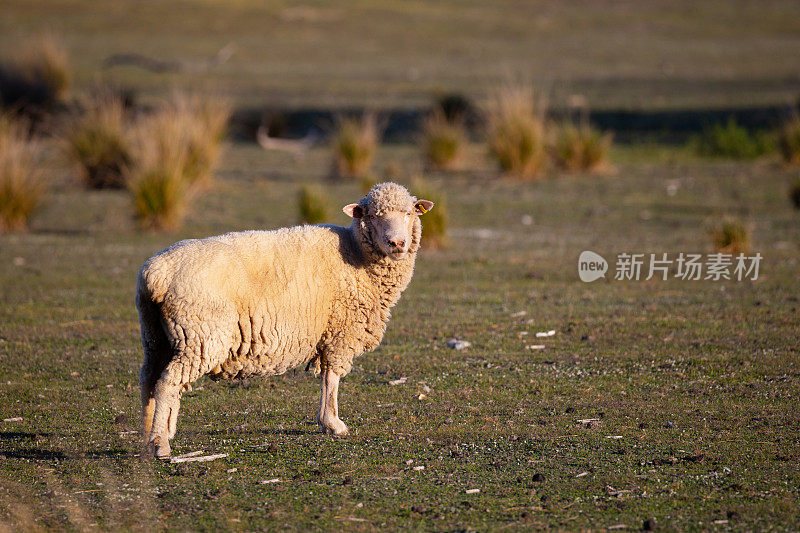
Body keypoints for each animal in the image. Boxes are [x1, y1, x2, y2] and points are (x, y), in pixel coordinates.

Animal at [138, 181, 438, 456]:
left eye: (409, 213)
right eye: (373, 216)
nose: (397, 243)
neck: (356, 255)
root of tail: (156, 272)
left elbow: (327, 377)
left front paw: (327, 422)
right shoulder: (340, 331)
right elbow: (331, 379)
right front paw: (332, 423)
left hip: (157, 335)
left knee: (150, 379)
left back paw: (151, 433)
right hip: (201, 335)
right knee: (168, 382)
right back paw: (160, 444)